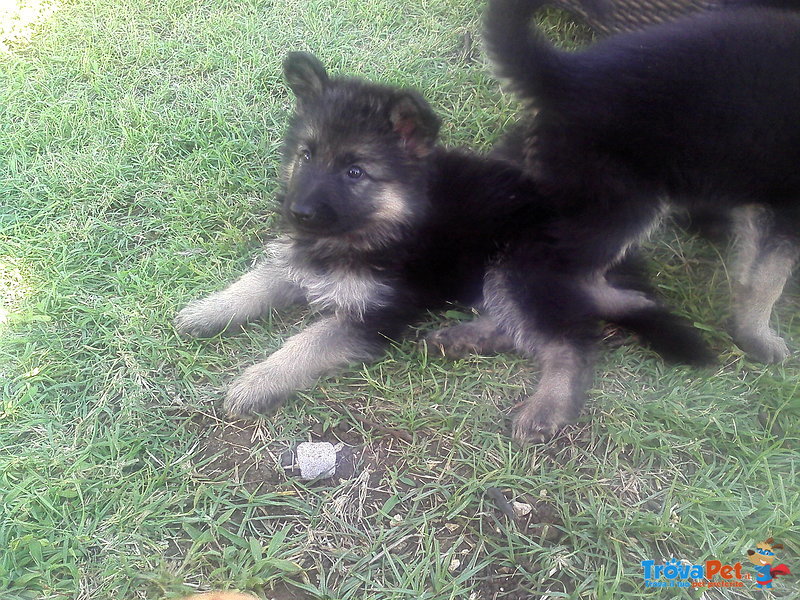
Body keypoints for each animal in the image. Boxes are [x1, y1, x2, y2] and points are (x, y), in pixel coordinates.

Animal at [177, 51, 712, 440]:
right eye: (307, 155)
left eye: (355, 172)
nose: (299, 213)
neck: (382, 225)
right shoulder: (302, 257)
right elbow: (260, 280)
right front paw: (209, 310)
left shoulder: (375, 313)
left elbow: (306, 344)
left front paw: (257, 381)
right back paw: (462, 338)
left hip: (517, 266)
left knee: (570, 342)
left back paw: (547, 406)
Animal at [476, 0, 800, 440]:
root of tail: (566, 72)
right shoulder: (787, 206)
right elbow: (767, 280)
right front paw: (759, 338)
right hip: (624, 201)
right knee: (545, 271)